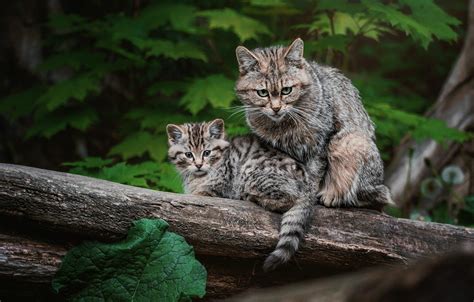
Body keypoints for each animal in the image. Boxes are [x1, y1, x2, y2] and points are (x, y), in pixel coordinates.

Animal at [167, 119, 314, 272]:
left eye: (207, 152)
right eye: (188, 155)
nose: (198, 165)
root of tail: (308, 185)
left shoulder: (219, 186)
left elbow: (203, 193)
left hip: (251, 173)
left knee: (289, 198)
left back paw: (251, 196)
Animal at [234, 37, 392, 209]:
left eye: (286, 90)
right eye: (262, 93)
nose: (276, 108)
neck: (281, 126)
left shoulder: (319, 144)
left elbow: (313, 174)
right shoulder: (273, 148)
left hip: (349, 142)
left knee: (371, 197)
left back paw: (332, 195)